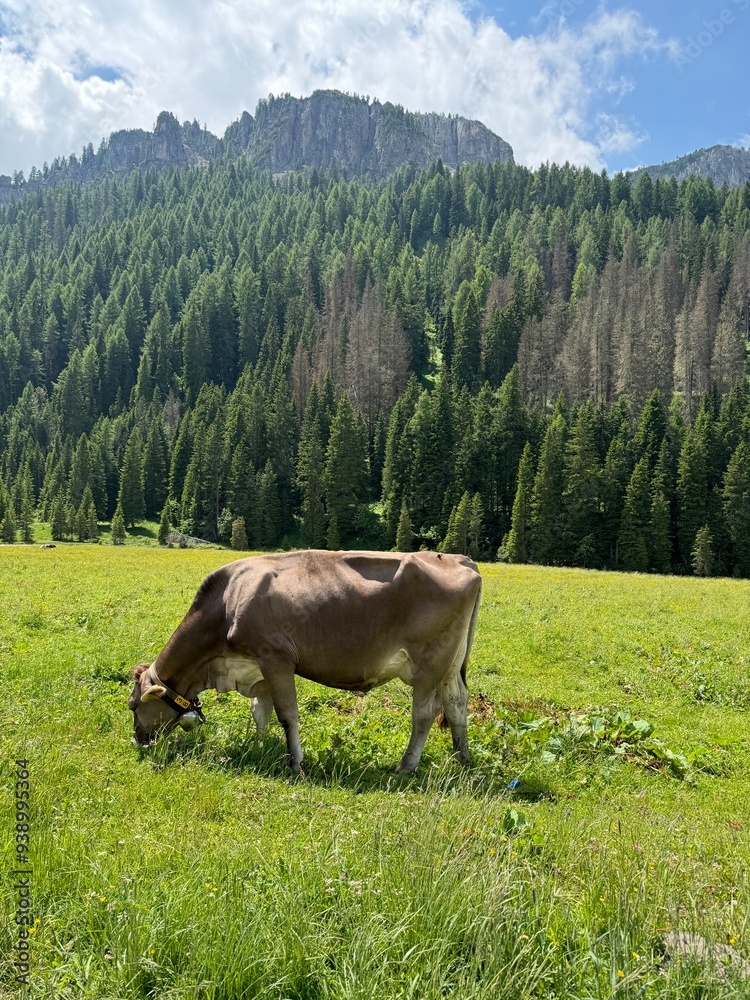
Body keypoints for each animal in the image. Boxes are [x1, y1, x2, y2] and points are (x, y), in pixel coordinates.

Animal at [129, 548, 482, 772]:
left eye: (133, 706)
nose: (138, 740)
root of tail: (458, 559)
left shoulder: (276, 658)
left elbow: (287, 714)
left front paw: (296, 763)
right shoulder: (257, 668)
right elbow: (260, 712)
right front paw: (261, 747)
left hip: (430, 661)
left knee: (424, 713)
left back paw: (406, 767)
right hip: (451, 666)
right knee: (456, 704)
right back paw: (462, 759)